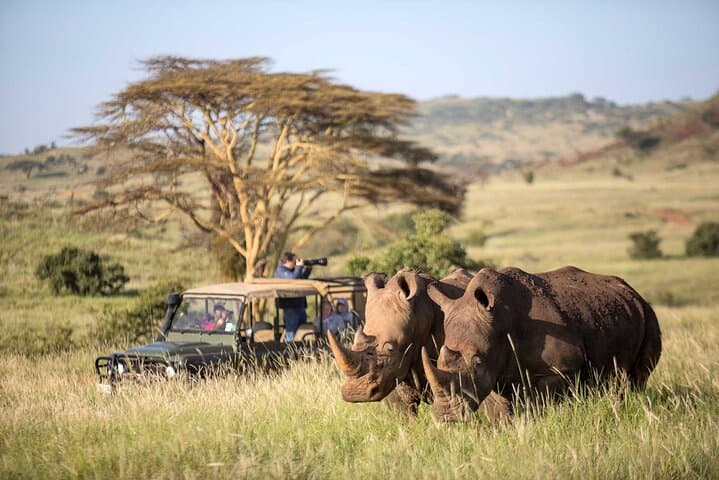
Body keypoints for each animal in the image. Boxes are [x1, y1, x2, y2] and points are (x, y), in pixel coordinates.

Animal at [421, 266, 662, 424]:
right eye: (439, 360)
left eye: (477, 362)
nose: (446, 417)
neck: (501, 321)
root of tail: (633, 291)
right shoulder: (494, 371)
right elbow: (498, 409)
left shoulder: (559, 369)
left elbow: (544, 403)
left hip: (648, 315)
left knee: (636, 378)